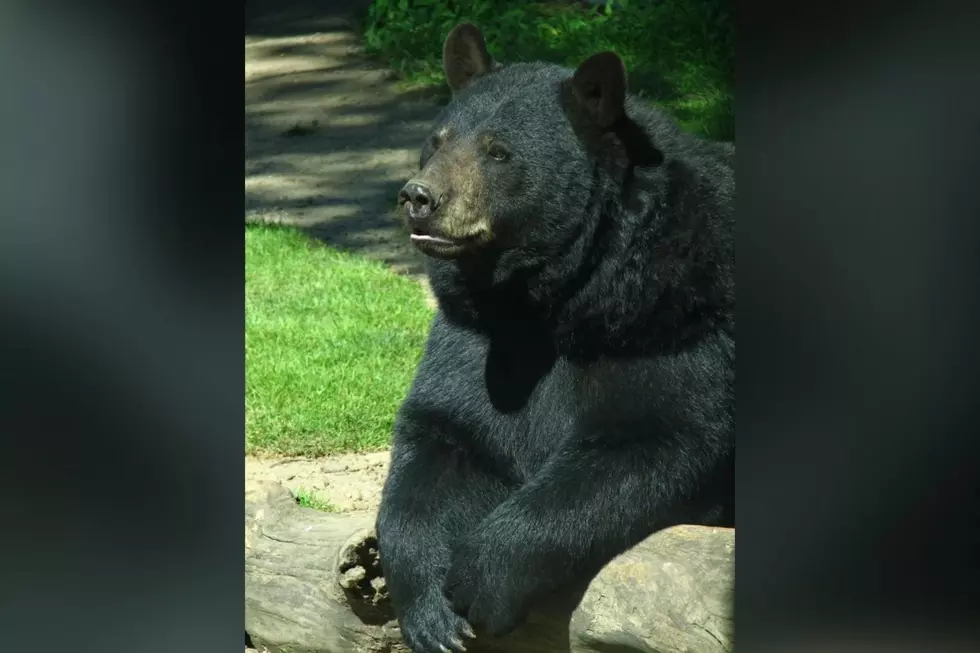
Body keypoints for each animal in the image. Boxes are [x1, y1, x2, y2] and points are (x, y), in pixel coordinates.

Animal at [376, 22, 736, 648]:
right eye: (437, 140)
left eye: (498, 151)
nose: (419, 197)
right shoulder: (477, 336)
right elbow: (442, 435)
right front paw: (429, 610)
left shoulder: (673, 323)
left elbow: (653, 438)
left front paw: (481, 578)